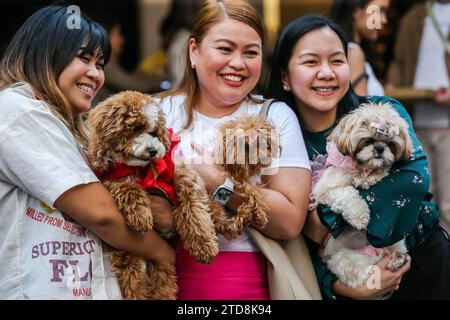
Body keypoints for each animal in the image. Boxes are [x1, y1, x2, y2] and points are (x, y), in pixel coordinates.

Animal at [87, 92, 218, 300]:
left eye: (155, 133)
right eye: (135, 129)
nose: (153, 150)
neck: (142, 170)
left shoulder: (182, 174)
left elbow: (193, 208)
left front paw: (204, 246)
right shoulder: (113, 179)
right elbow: (128, 189)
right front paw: (140, 217)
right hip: (128, 253)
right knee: (134, 280)